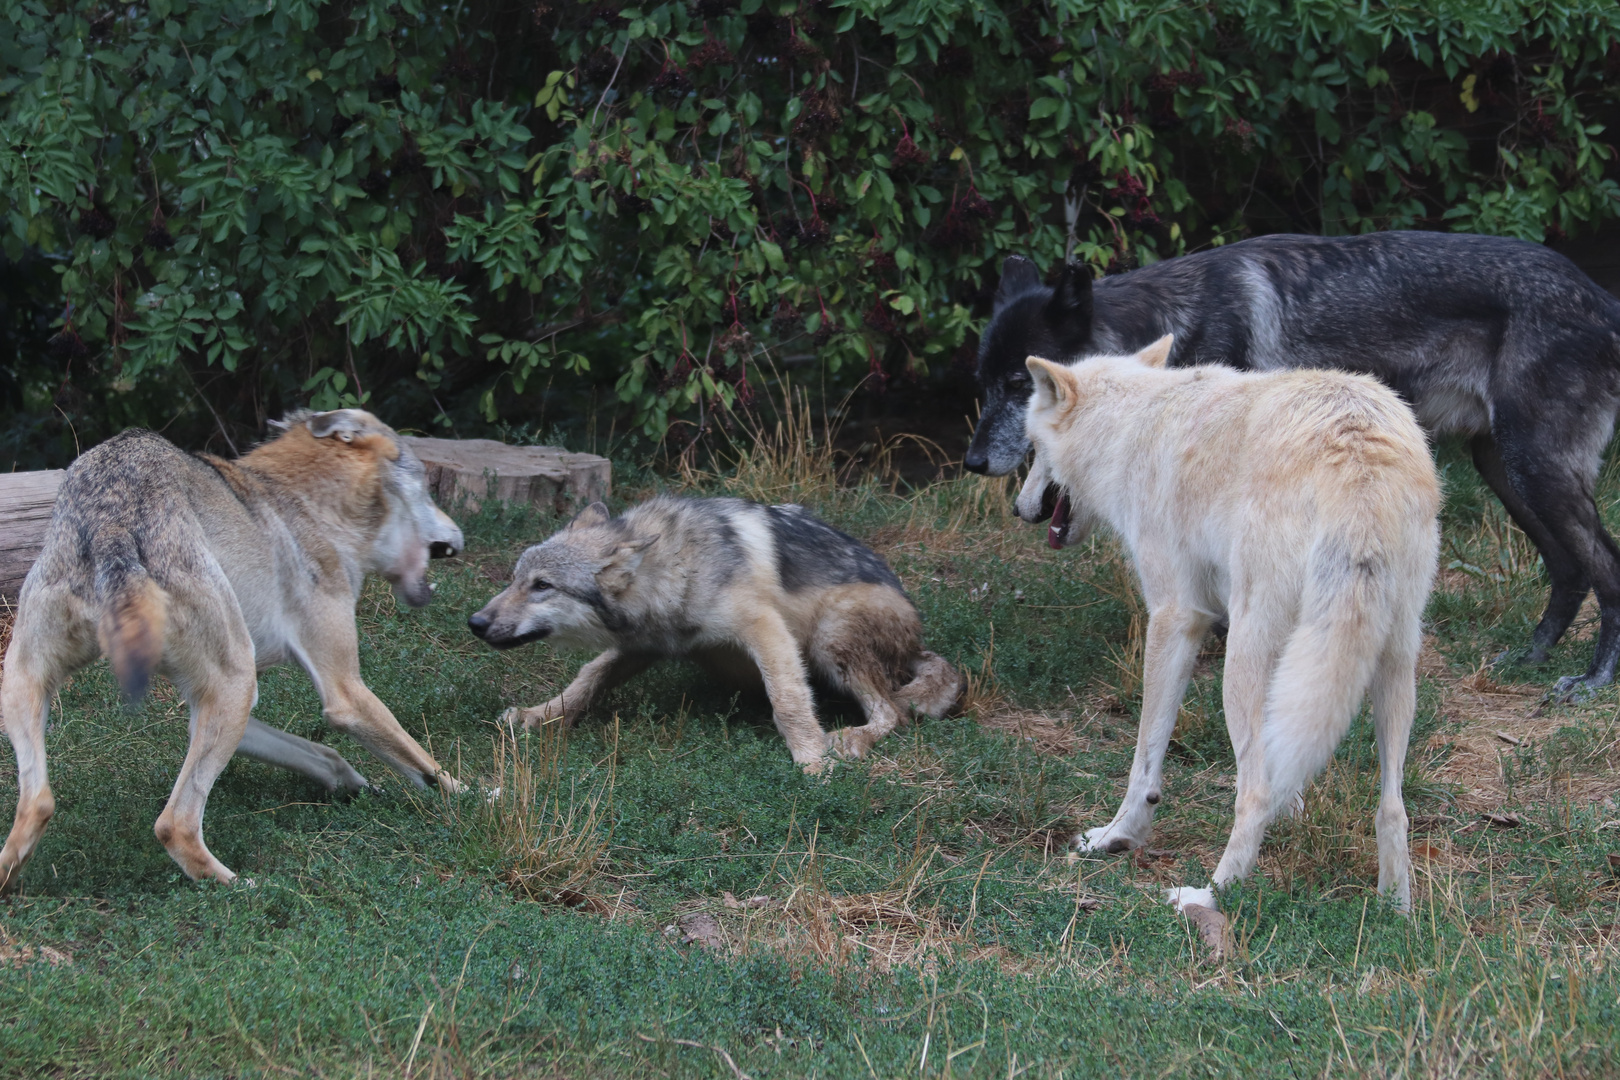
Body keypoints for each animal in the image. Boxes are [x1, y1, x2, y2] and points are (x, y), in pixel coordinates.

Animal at [1, 409, 469, 893]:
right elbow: (431, 768)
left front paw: (359, 788)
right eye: (427, 486)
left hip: (26, 686)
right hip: (233, 689)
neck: (310, 507)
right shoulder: (345, 695)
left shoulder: (210, 711)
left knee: (36, 804)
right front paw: (480, 800)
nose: (462, 534)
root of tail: (111, 519)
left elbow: (327, 755)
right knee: (174, 824)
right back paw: (244, 886)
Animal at [466, 498, 959, 767]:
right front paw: (539, 715)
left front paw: (812, 762)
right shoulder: (643, 646)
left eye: (542, 586)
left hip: (830, 636)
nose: (475, 623)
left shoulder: (765, 629)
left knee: (893, 712)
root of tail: (916, 640)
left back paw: (851, 739)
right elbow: (586, 679)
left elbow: (787, 702)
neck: (676, 565)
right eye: (514, 579)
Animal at [959, 233, 1620, 696]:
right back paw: (1533, 658)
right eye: (985, 382)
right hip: (1506, 469)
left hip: (1535, 468)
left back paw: (1592, 681)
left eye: (1021, 385)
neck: (1173, 327)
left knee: (1605, 564)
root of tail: (1601, 296)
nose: (972, 462)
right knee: (1570, 569)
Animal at [1017, 335, 1438, 913]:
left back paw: (1206, 896)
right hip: (1391, 662)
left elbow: (1145, 759)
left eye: (1032, 447)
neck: (1128, 428)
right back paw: (1394, 910)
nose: (1022, 508)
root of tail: (1359, 461)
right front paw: (1294, 817)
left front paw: (1116, 837)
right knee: (1392, 807)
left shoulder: (1176, 618)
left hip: (1242, 662)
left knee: (1253, 792)